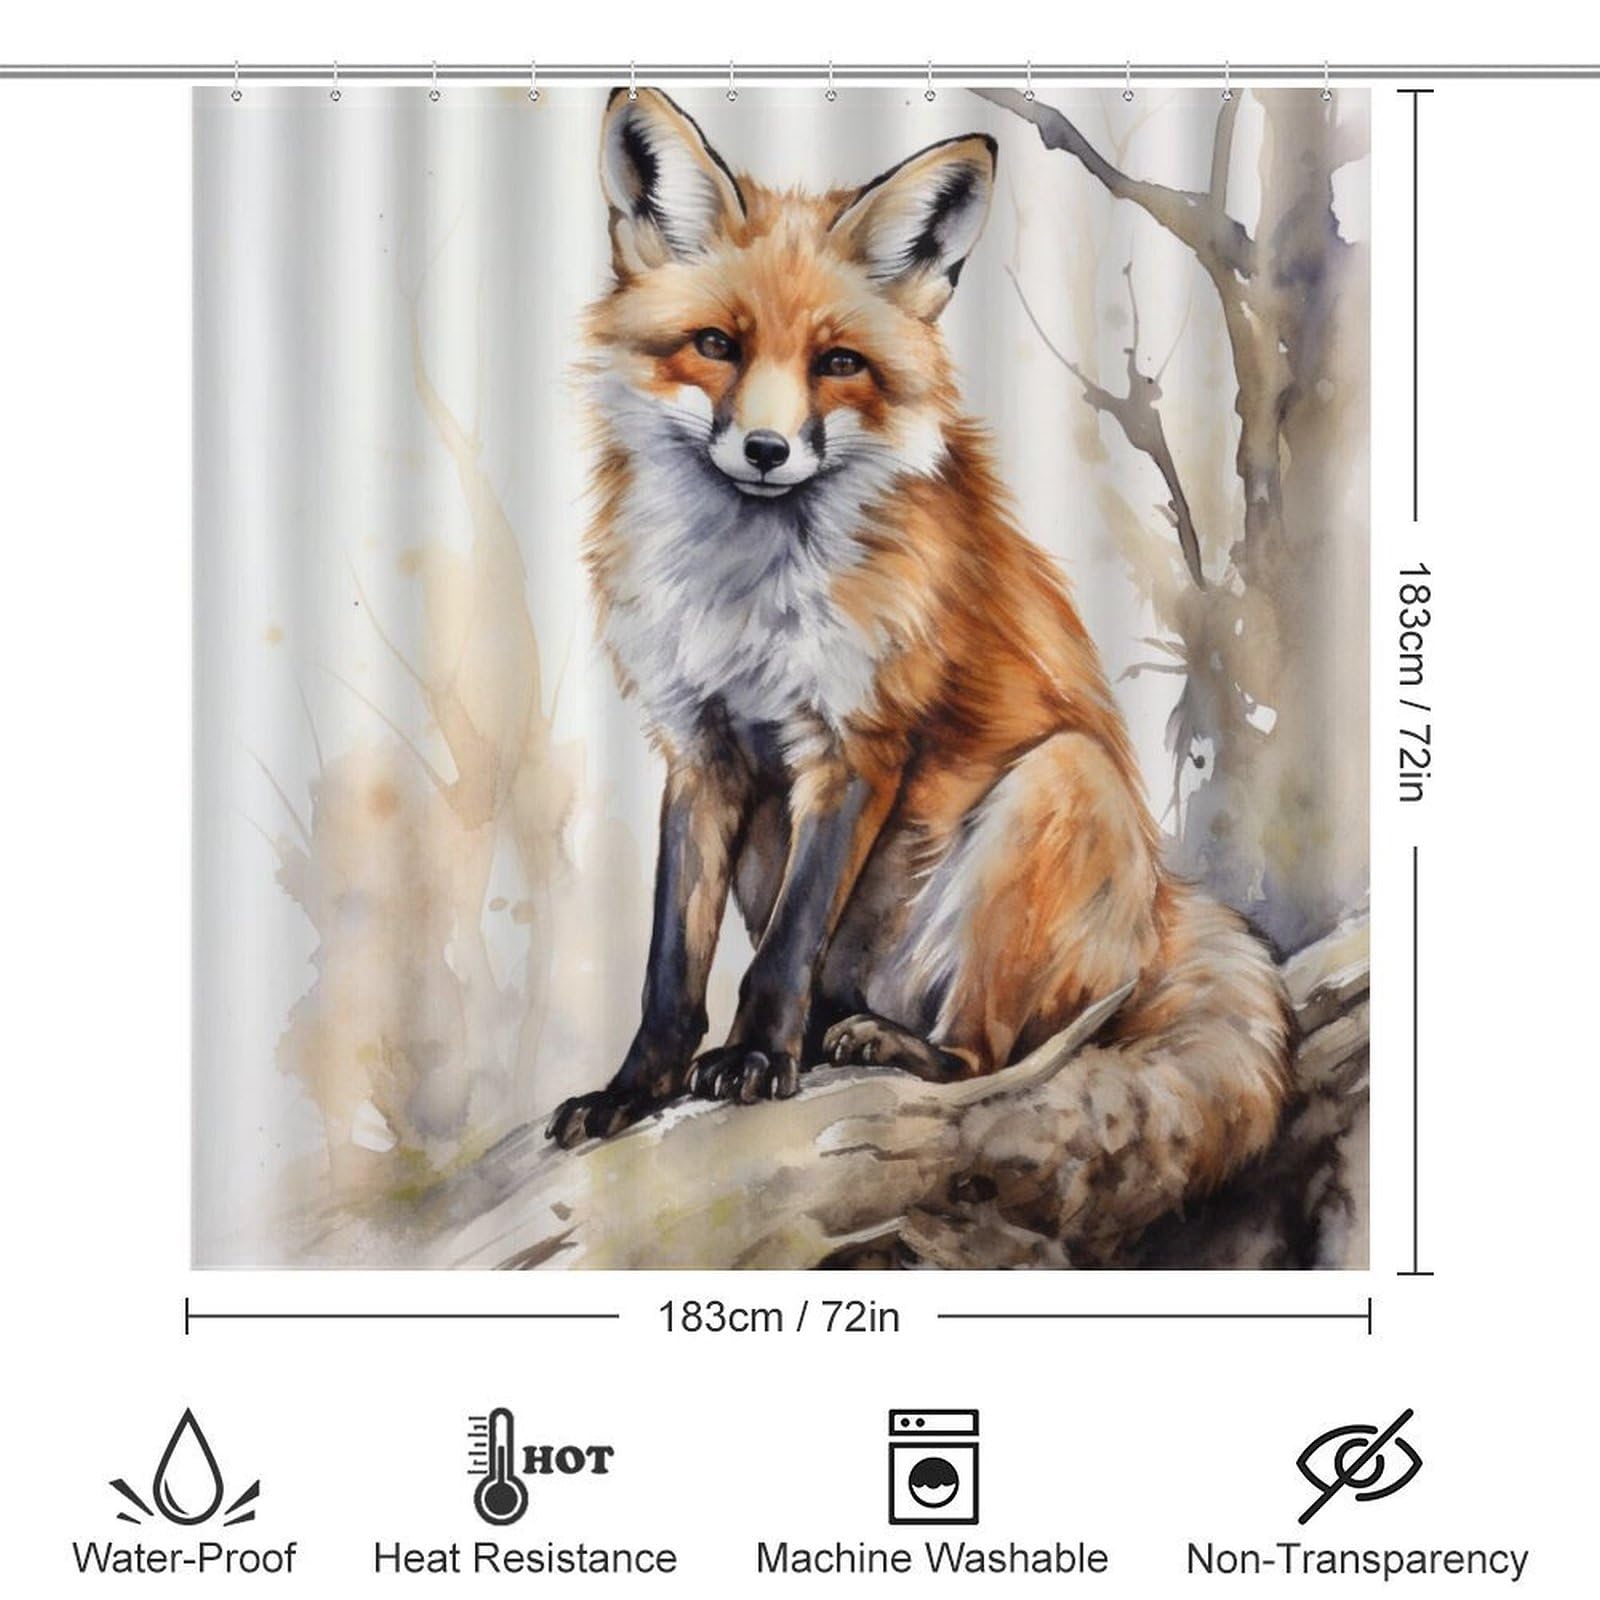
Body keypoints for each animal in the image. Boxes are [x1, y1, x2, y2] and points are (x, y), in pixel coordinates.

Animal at [547, 87, 1291, 1226]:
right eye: (715, 344)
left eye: (838, 363)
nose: (766, 451)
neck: (746, 595)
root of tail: (1168, 909)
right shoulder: (700, 746)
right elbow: (672, 966)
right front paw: (636, 1088)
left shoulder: (857, 740)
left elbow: (782, 950)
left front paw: (754, 1059)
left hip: (1056, 786)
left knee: (987, 1053)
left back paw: (883, 1044)